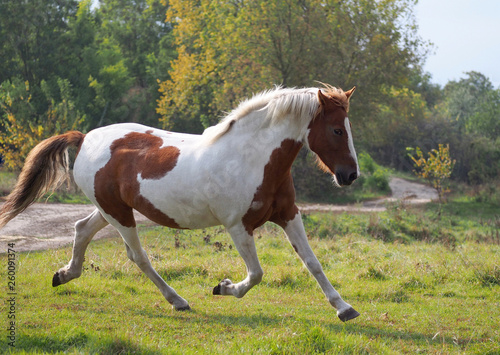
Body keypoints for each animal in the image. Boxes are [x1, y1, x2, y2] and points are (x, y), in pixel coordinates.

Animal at [0, 85, 360, 322]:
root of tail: (85, 138)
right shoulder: (238, 226)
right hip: (119, 215)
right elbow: (256, 274)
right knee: (137, 256)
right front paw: (223, 287)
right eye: (337, 130)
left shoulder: (288, 215)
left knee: (81, 229)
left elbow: (312, 263)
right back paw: (178, 301)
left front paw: (344, 308)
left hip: (109, 209)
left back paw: (64, 274)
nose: (350, 175)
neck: (250, 158)